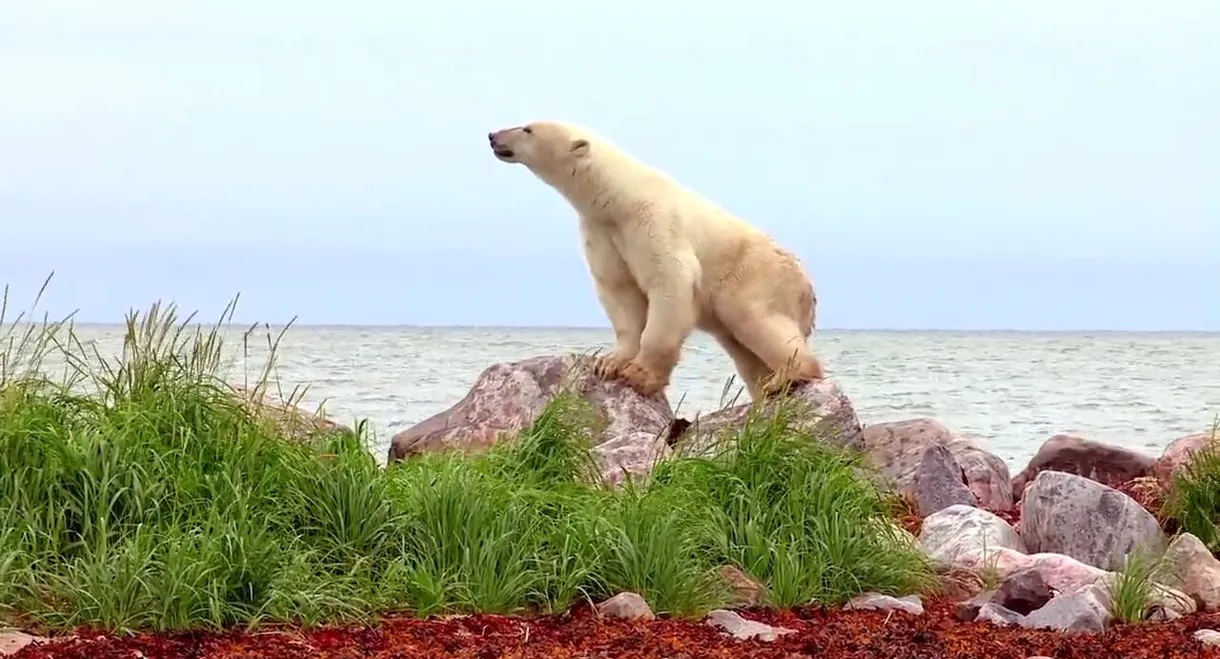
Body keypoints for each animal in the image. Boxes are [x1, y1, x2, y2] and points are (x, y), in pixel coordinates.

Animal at [487, 120, 825, 400]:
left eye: (528, 128)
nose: (493, 135)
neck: (619, 197)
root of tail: (808, 289)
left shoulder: (654, 223)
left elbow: (668, 283)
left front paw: (639, 375)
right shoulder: (602, 232)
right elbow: (619, 291)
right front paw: (609, 363)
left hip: (757, 276)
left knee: (756, 318)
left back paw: (787, 377)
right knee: (743, 350)